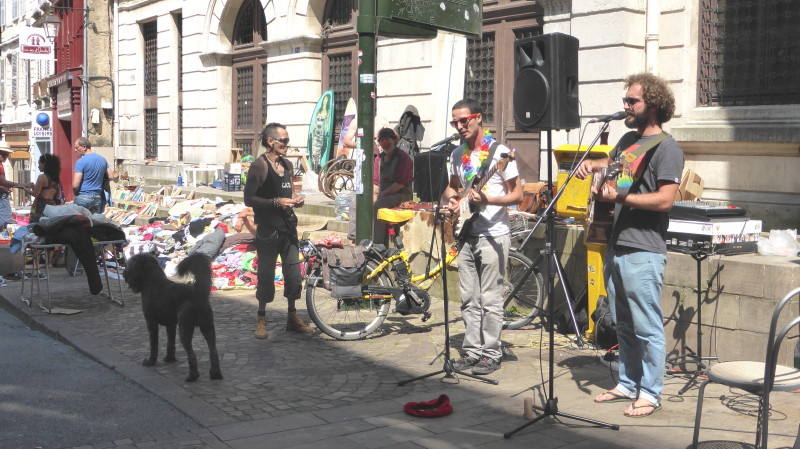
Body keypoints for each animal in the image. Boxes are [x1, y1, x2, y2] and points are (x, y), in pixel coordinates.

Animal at [126, 252, 223, 382]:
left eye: (129, 265)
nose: (124, 273)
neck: (152, 281)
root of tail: (197, 293)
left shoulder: (151, 323)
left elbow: (153, 345)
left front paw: (150, 361)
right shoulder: (171, 325)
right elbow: (170, 343)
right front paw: (169, 358)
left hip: (185, 330)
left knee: (192, 355)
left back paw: (192, 376)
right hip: (208, 327)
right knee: (213, 351)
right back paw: (215, 374)